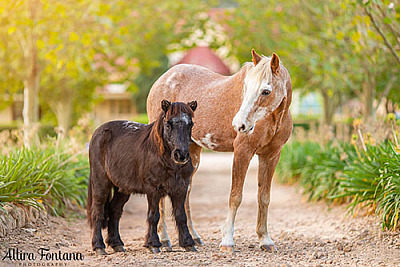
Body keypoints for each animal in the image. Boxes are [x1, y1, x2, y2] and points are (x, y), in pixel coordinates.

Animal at [147, 50, 290, 253]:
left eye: (266, 91)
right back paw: (164, 240)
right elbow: (235, 197)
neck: (274, 118)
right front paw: (227, 241)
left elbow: (264, 197)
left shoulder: (271, 156)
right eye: (246, 87)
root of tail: (162, 80)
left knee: (186, 193)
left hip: (191, 154)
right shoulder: (242, 152)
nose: (239, 125)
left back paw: (193, 238)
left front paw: (265, 240)